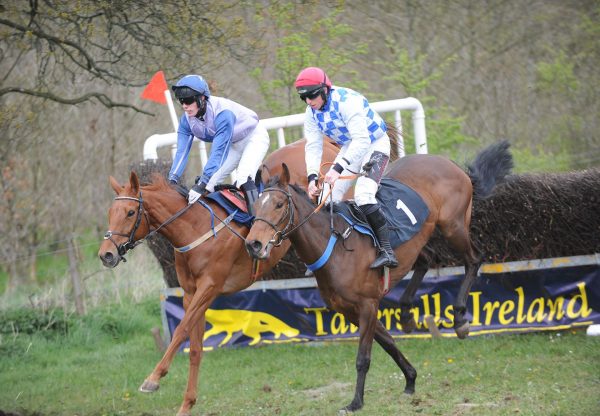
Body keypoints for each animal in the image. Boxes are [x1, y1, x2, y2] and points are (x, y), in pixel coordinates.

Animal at [96, 138, 340, 414]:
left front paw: (153, 378)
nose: (105, 254)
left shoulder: (210, 287)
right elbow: (195, 347)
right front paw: (187, 404)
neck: (194, 227)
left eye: (129, 212)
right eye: (110, 212)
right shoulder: (191, 293)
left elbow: (180, 330)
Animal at [244, 141, 510, 412]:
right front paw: (410, 379)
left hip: (453, 226)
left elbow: (364, 357)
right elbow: (389, 343)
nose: (253, 244)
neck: (335, 247)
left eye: (278, 204)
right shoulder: (350, 311)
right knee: (427, 260)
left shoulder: (367, 305)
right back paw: (406, 314)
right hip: (420, 242)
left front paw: (356, 402)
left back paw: (459, 318)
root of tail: (452, 165)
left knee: (473, 259)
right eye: (256, 205)